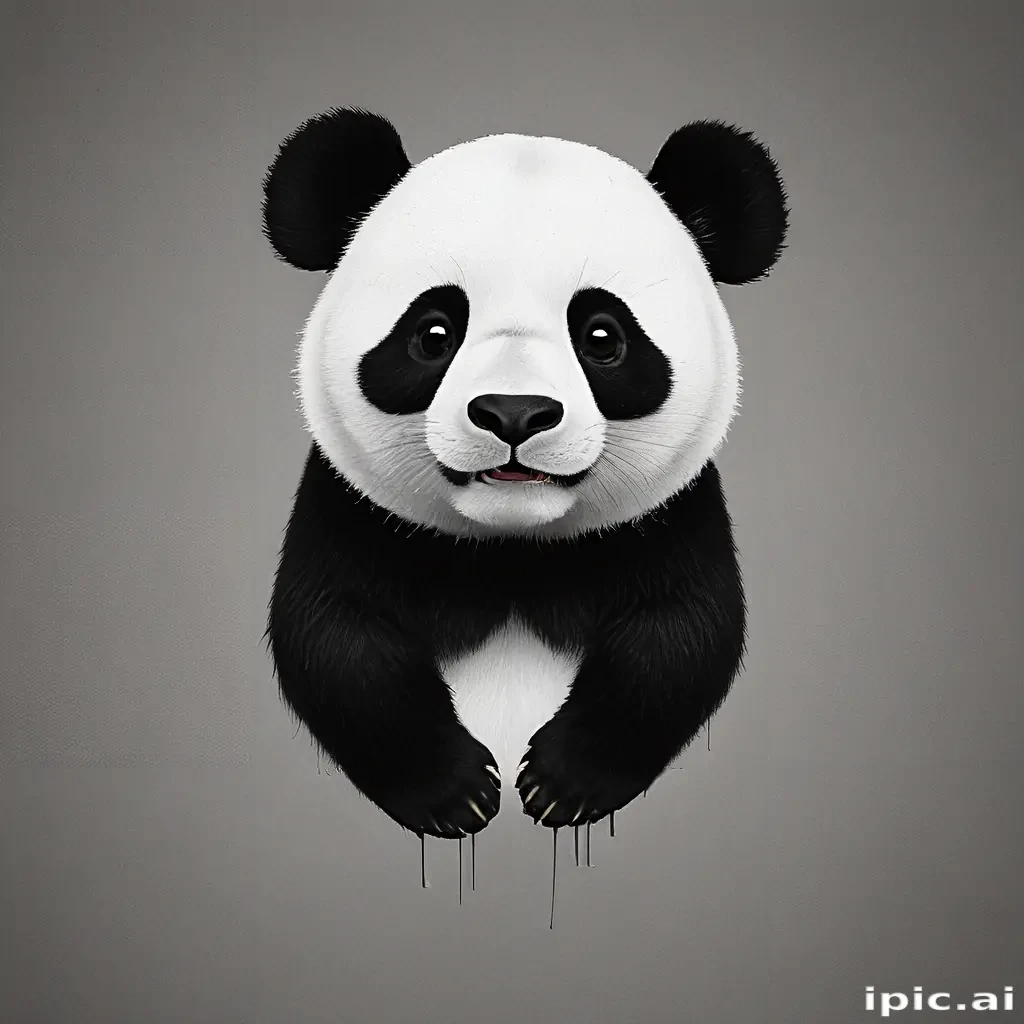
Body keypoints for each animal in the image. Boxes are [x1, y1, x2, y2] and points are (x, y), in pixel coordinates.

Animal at [263, 107, 788, 841]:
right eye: (433, 333)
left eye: (602, 336)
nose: (514, 413)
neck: (514, 552)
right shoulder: (350, 511)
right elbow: (338, 638)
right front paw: (458, 794)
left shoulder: (672, 517)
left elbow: (679, 634)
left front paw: (560, 785)